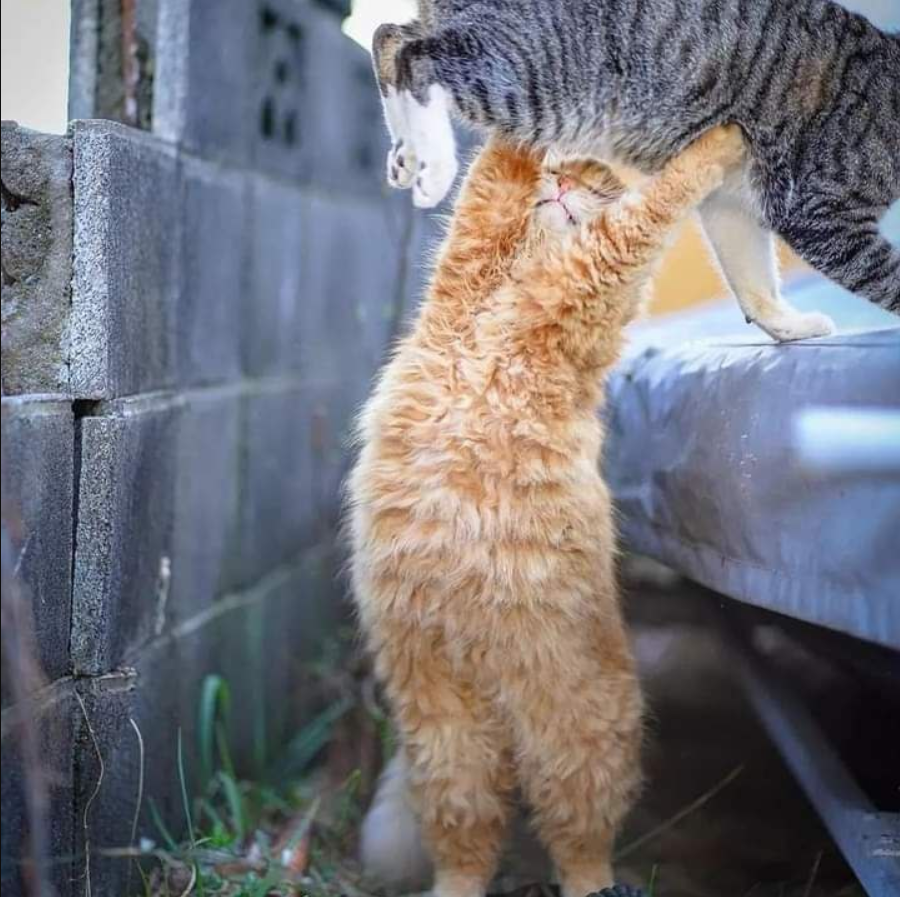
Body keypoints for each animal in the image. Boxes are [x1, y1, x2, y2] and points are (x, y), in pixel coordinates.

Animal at [348, 124, 740, 896]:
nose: (560, 187)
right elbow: (501, 167)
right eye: (562, 170)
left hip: (575, 738)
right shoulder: (482, 235)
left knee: (579, 841)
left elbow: (660, 196)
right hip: (447, 736)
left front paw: (724, 141)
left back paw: (595, 883)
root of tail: (499, 706)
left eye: (595, 182)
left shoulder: (594, 274)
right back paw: (453, 888)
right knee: (470, 842)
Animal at [372, 0, 900, 342]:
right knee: (411, 54)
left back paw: (408, 153)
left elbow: (752, 281)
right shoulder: (820, 213)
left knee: (392, 36)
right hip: (529, 77)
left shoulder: (730, 203)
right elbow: (889, 279)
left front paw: (788, 325)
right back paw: (434, 163)